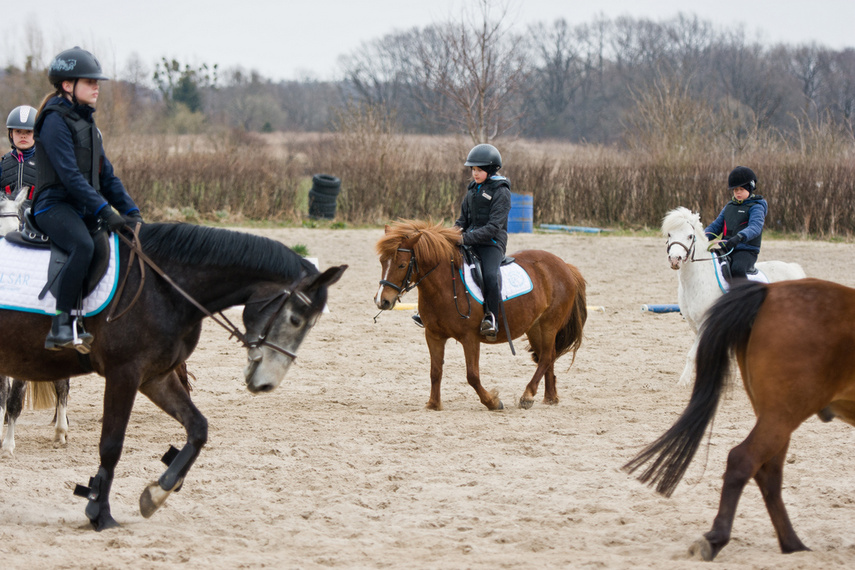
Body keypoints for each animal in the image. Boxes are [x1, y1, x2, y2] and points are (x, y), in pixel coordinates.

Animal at [374, 220, 588, 410]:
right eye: (382, 262)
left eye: (402, 265)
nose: (382, 301)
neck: (445, 287)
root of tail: (564, 265)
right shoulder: (433, 335)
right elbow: (435, 371)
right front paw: (433, 404)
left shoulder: (470, 337)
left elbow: (472, 375)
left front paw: (492, 402)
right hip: (535, 328)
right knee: (547, 356)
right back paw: (549, 398)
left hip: (549, 324)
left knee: (546, 357)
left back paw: (527, 396)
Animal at [620, 278, 855, 560]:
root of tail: (769, 292)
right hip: (783, 413)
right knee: (744, 460)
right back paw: (717, 540)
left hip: (777, 415)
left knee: (768, 471)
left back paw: (793, 545)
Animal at [664, 207, 808, 386]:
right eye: (670, 234)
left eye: (690, 236)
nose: (674, 259)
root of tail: (793, 269)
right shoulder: (694, 324)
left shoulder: (707, 322)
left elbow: (693, 354)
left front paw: (684, 382)